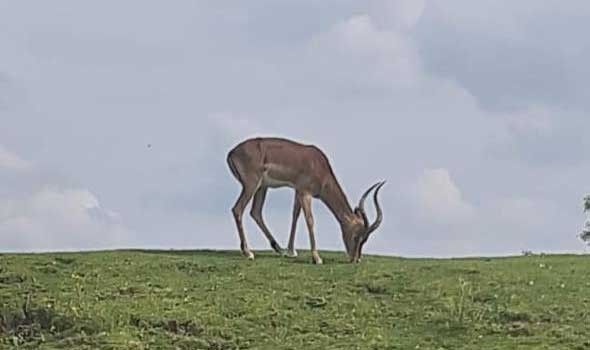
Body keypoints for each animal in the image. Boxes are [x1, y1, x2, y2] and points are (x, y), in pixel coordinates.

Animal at [225, 138, 384, 264]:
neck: (319, 165)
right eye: (357, 236)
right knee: (238, 209)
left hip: (262, 187)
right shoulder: (305, 193)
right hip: (252, 185)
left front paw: (291, 251)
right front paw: (317, 258)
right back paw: (248, 252)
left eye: (365, 239)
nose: (355, 259)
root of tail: (231, 152)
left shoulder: (298, 191)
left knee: (255, 212)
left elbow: (295, 215)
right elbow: (310, 220)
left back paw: (279, 249)